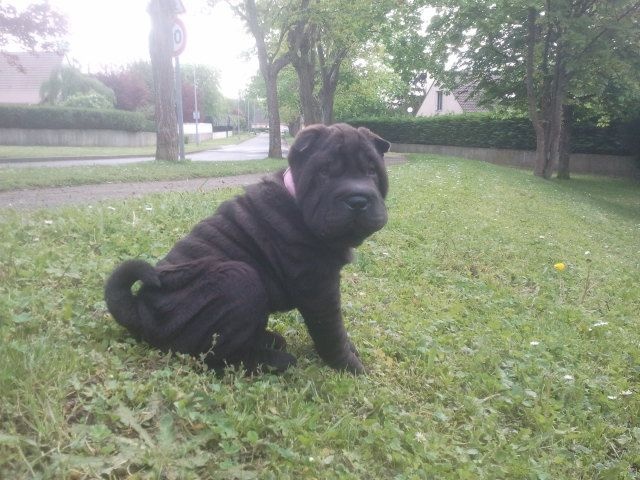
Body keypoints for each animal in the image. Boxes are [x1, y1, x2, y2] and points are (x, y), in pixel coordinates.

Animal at [104, 123, 390, 374]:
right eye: (325, 172)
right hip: (238, 278)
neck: (297, 200)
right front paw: (350, 366)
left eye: (372, 171)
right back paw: (275, 360)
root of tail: (140, 309)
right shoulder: (318, 288)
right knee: (215, 356)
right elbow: (332, 331)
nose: (358, 200)